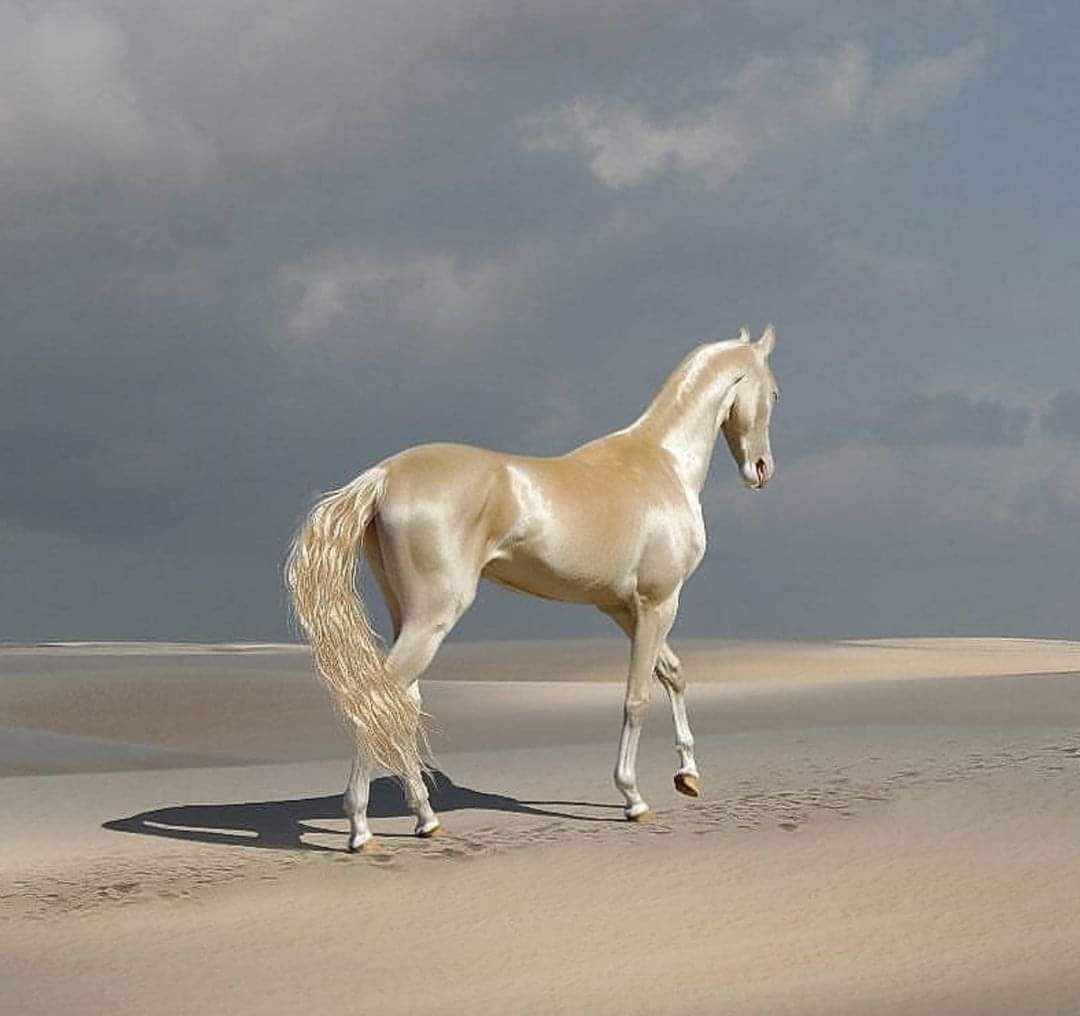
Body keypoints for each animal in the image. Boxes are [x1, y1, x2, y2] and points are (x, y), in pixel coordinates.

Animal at [286, 324, 779, 852]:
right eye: (773, 393)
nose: (761, 470)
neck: (661, 464)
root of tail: (384, 475)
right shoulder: (658, 603)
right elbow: (637, 697)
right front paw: (632, 797)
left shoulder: (623, 608)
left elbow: (674, 674)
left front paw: (688, 775)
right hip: (432, 618)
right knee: (378, 700)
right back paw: (360, 829)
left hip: (408, 616)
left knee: (401, 704)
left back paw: (425, 817)